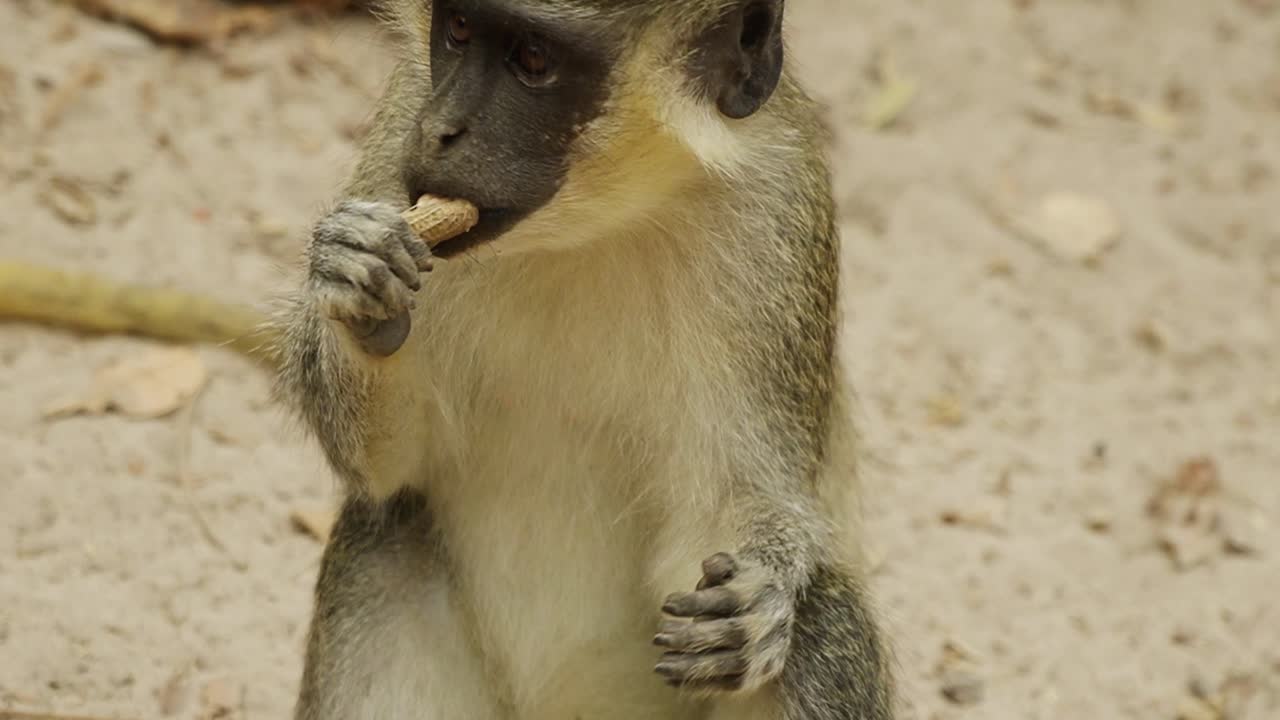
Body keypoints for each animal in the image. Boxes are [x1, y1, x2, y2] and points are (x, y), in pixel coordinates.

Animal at [274, 1, 895, 718]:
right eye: (458, 30)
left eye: (534, 61)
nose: (439, 132)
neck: (592, 223)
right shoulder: (398, 136)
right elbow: (389, 467)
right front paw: (358, 279)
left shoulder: (783, 212)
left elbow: (732, 504)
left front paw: (761, 593)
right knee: (383, 534)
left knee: (822, 617)